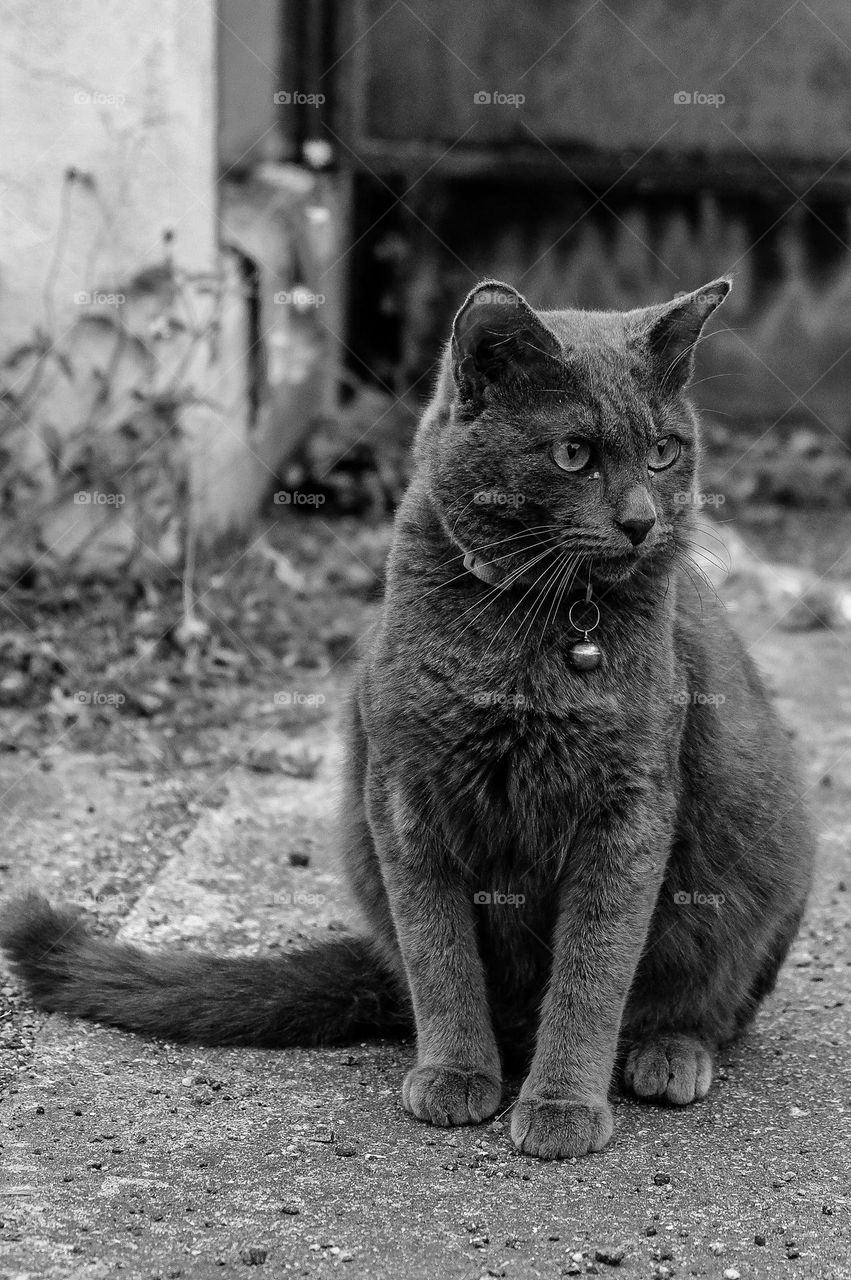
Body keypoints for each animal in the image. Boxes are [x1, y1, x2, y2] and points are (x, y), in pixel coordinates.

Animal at [0, 277, 813, 1162]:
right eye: (573, 454)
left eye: (663, 452)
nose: (639, 521)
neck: (527, 635)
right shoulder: (402, 797)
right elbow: (438, 952)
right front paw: (456, 1073)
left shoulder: (629, 806)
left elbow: (593, 967)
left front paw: (561, 1104)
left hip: (767, 861)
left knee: (709, 1003)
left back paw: (666, 1054)